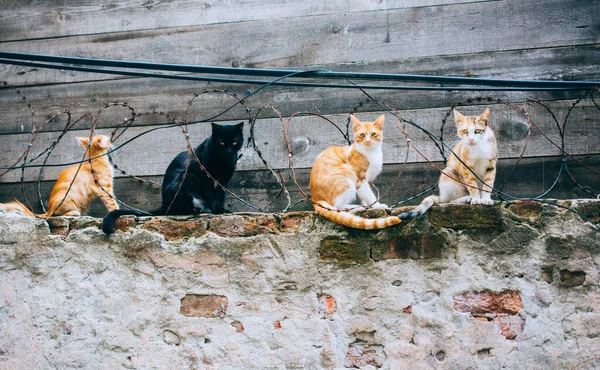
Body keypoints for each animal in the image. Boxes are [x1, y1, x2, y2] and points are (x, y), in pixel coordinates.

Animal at [102, 123, 243, 236]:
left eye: (235, 142)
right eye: (222, 142)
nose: (229, 151)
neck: (223, 161)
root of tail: (164, 204)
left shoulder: (223, 181)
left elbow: (221, 196)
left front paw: (223, 210)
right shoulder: (204, 177)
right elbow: (211, 195)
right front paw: (216, 210)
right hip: (185, 178)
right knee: (176, 210)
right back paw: (193, 210)